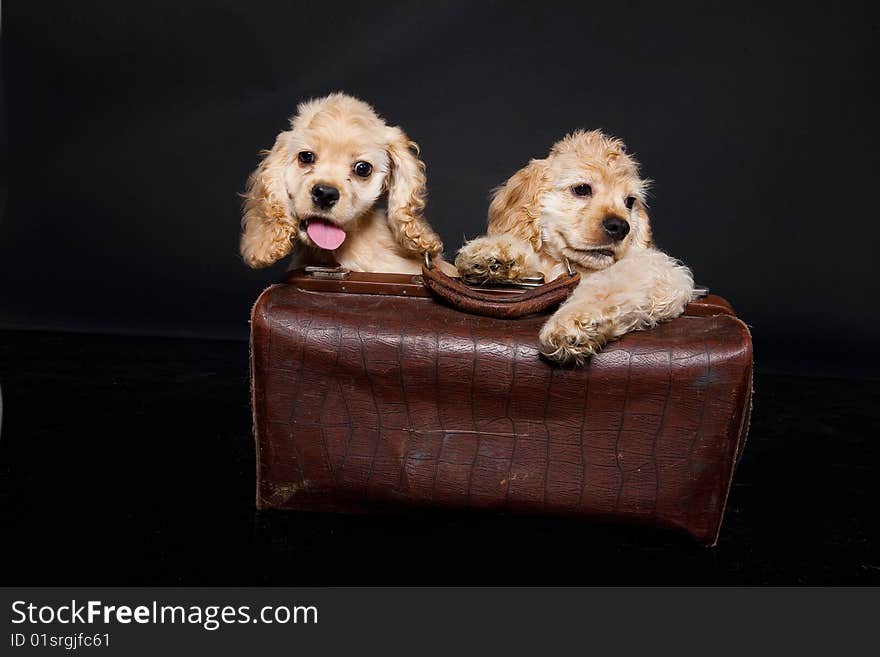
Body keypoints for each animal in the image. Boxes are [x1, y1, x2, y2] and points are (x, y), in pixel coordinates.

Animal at [454, 128, 696, 364]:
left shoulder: (660, 271)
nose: (620, 227)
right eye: (581, 189)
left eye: (629, 201)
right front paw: (491, 254)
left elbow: (608, 284)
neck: (571, 265)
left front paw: (573, 323)